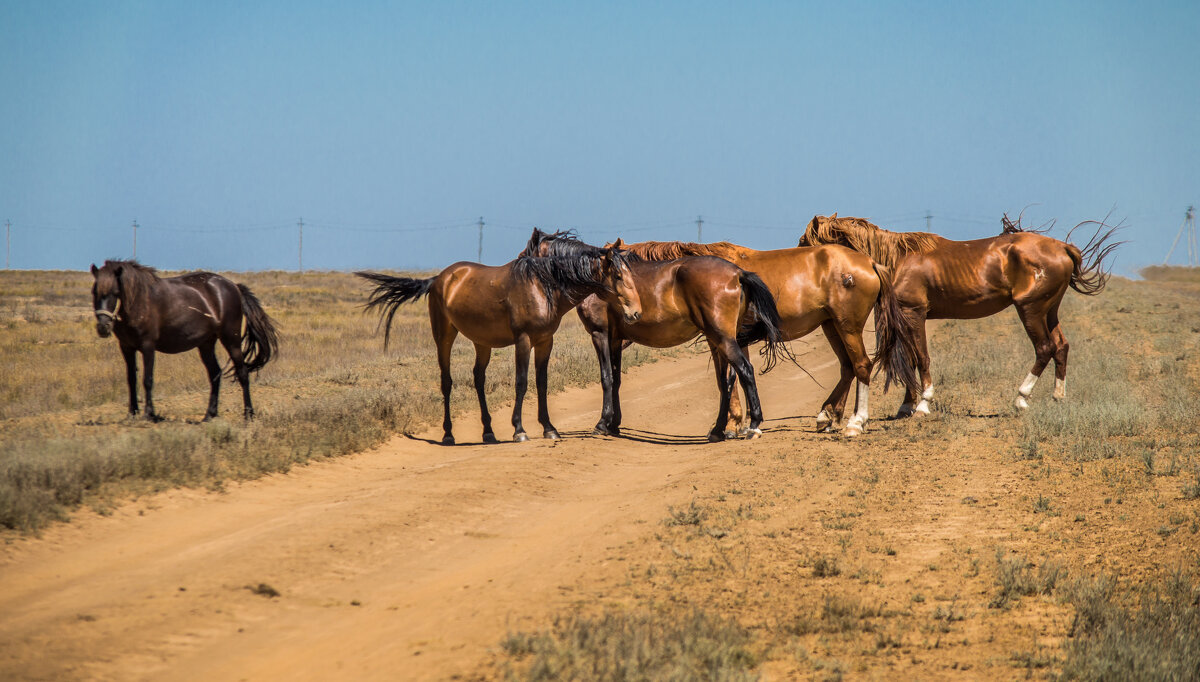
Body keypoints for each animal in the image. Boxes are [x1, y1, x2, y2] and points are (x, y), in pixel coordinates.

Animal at [88, 259, 278, 420]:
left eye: (115, 293)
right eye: (94, 292)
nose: (103, 327)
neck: (139, 301)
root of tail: (234, 286)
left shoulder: (148, 346)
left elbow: (147, 379)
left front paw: (149, 413)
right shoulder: (126, 347)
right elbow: (131, 379)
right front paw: (132, 413)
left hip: (231, 339)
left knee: (243, 373)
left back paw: (248, 414)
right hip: (206, 344)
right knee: (215, 373)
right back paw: (209, 415)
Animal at [352, 231, 643, 444]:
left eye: (630, 274)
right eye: (618, 275)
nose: (636, 312)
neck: (541, 285)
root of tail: (439, 279)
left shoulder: (545, 341)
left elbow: (542, 383)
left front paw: (549, 428)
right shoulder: (523, 340)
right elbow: (521, 382)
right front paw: (519, 430)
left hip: (482, 343)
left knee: (478, 379)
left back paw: (488, 432)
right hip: (444, 336)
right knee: (446, 382)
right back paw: (448, 434)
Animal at [520, 229, 792, 441]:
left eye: (526, 254)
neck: (598, 279)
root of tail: (737, 273)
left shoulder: (600, 335)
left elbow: (606, 378)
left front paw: (602, 424)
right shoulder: (615, 339)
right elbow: (616, 380)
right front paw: (614, 425)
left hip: (723, 340)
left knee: (745, 371)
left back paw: (753, 425)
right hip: (718, 341)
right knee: (725, 381)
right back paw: (717, 430)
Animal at [600, 236, 916, 434]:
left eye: (623, 277)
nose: (626, 317)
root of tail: (869, 263)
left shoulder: (721, 340)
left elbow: (728, 379)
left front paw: (731, 425)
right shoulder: (729, 341)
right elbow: (733, 378)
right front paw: (736, 423)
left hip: (847, 325)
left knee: (861, 365)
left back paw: (856, 422)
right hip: (831, 326)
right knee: (847, 367)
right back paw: (828, 415)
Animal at [796, 216, 1123, 413]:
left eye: (804, 242)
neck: (898, 258)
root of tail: (1064, 248)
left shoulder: (914, 314)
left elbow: (920, 357)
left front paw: (923, 403)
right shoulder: (910, 318)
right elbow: (912, 359)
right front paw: (907, 405)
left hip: (1030, 310)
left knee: (1044, 348)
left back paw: (1021, 398)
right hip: (1049, 310)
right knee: (1061, 347)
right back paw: (1058, 397)